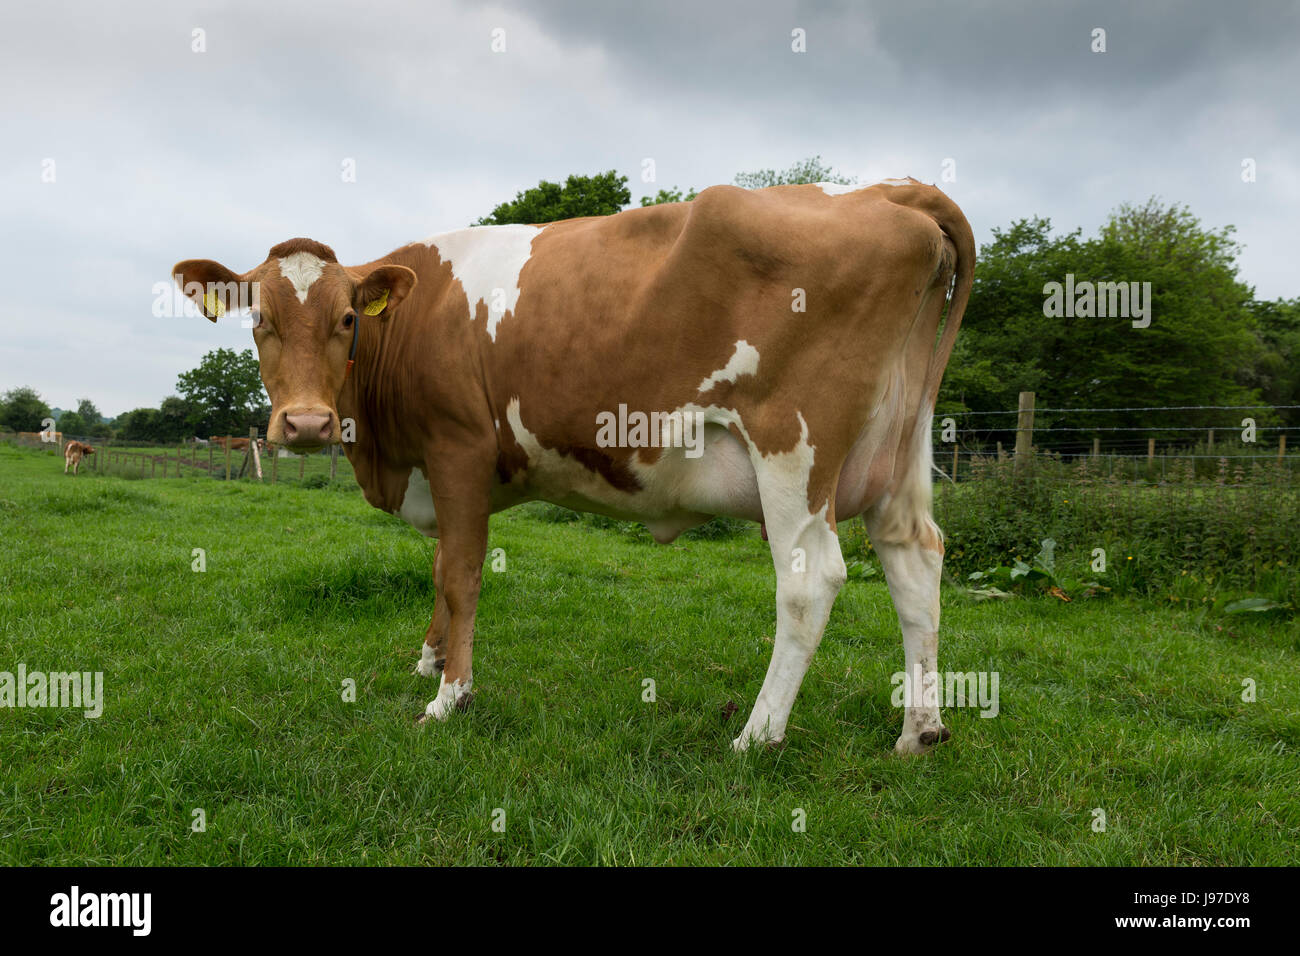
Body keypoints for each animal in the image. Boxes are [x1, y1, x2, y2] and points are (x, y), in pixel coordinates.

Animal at [174, 179, 974, 754]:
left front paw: (449, 696)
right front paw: (430, 658)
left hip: (793, 451)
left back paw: (756, 736)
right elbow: (440, 565)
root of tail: (888, 189)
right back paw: (918, 731)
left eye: (347, 319)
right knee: (915, 562)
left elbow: (460, 574)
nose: (305, 423)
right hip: (900, 448)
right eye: (258, 319)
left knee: (811, 583)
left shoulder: (458, 448)